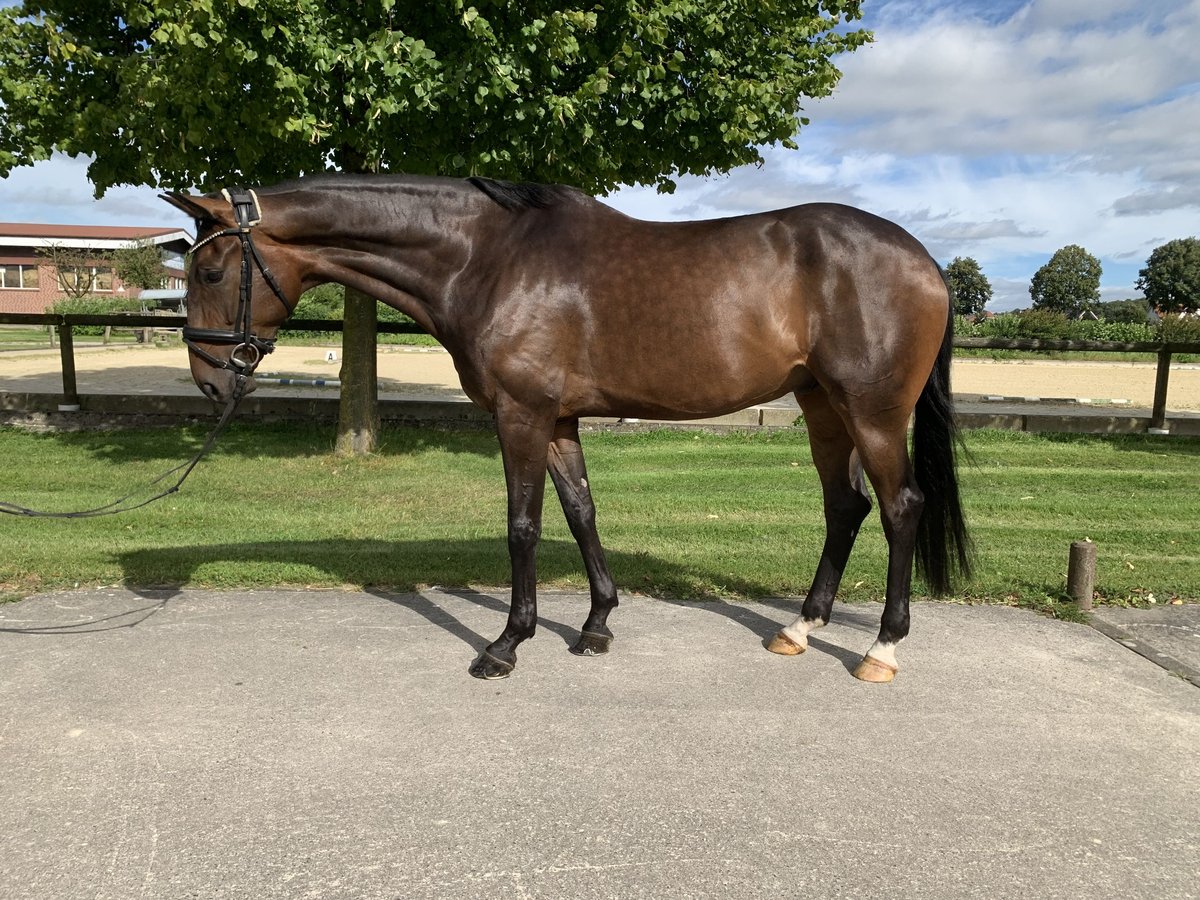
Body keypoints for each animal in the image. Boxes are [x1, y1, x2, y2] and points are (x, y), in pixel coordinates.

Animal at [162, 174, 964, 681]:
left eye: (209, 273)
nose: (211, 381)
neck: (487, 259)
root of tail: (924, 259)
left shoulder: (521, 415)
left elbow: (523, 524)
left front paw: (506, 645)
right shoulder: (559, 419)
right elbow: (581, 511)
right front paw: (597, 624)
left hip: (871, 412)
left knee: (900, 507)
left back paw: (883, 649)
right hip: (823, 407)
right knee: (845, 506)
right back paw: (800, 629)